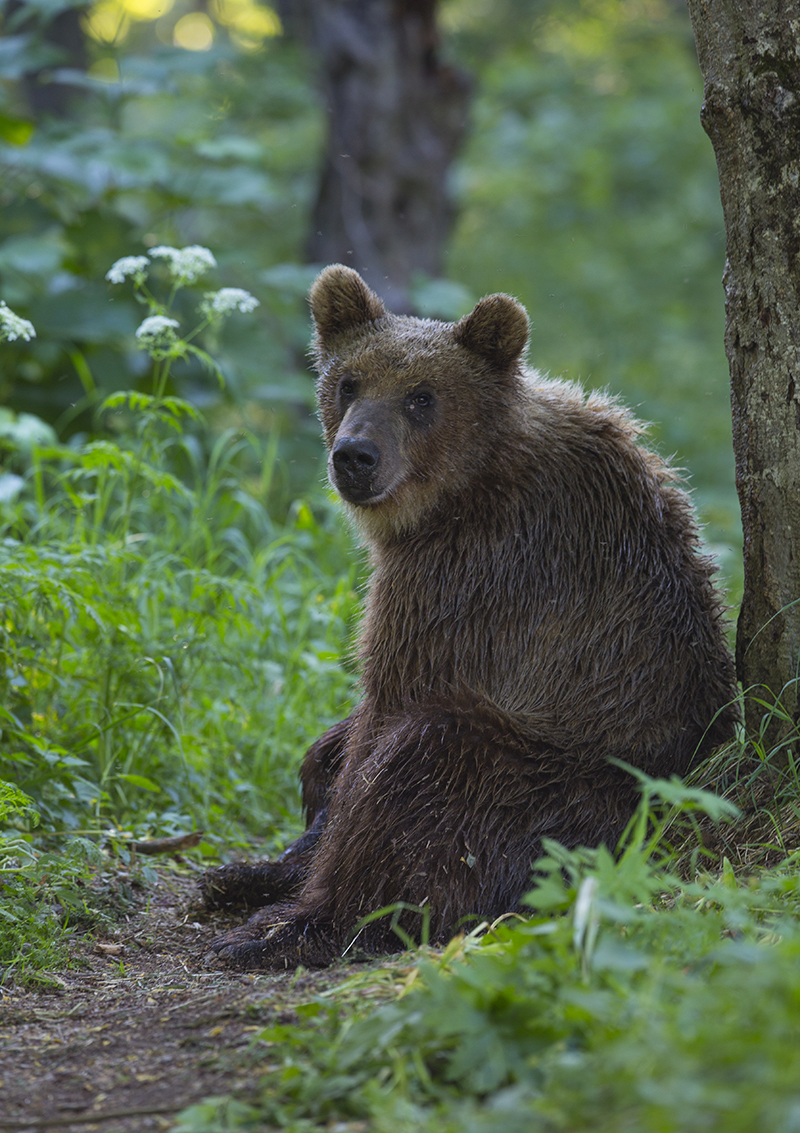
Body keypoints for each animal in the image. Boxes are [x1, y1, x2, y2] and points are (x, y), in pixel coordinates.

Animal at [202, 262, 738, 965]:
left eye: (421, 397)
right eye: (349, 382)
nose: (355, 456)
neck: (462, 488)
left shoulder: (472, 578)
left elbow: (390, 710)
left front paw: (292, 910)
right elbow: (337, 752)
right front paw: (261, 864)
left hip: (564, 785)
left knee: (429, 759)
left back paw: (305, 927)